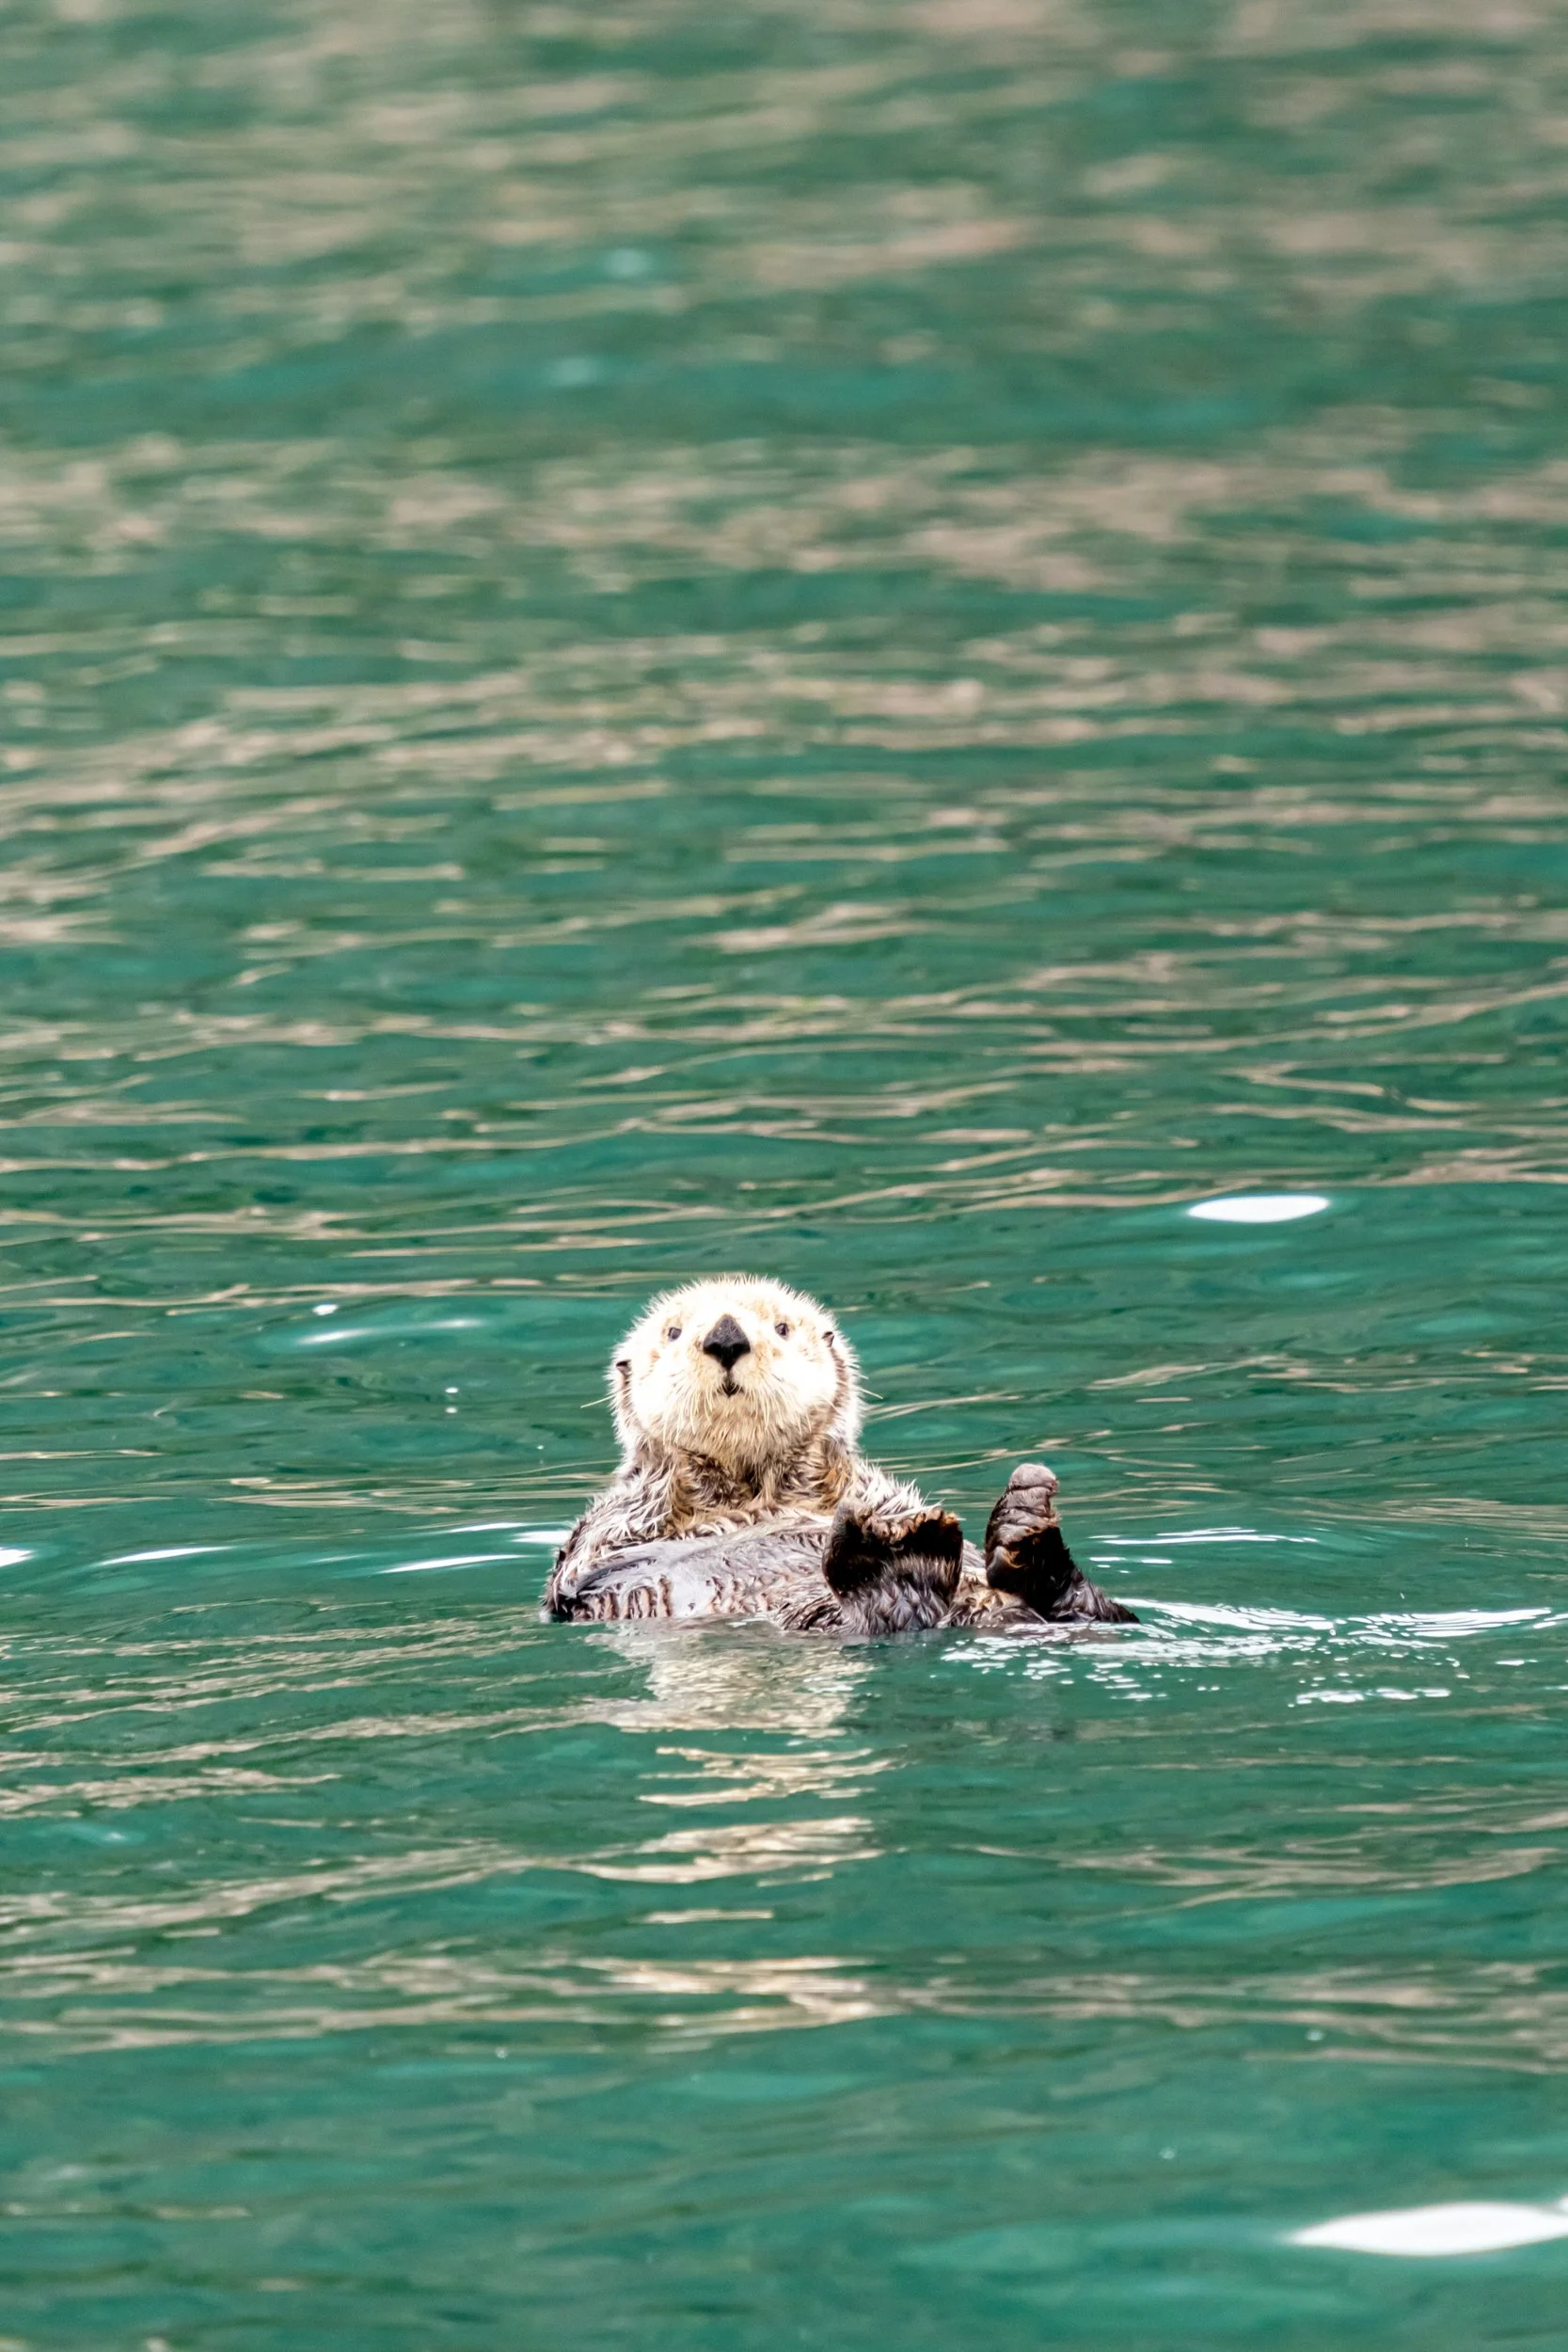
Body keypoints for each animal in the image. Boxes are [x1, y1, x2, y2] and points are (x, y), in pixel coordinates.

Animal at [543, 1277, 1136, 1638]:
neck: (750, 1488)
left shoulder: (870, 1490)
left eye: (782, 1327)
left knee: (1093, 1607)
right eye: (673, 1332)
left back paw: (1021, 1527)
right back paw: (902, 1558)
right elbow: (585, 1567)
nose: (726, 1336)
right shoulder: (612, 1522)